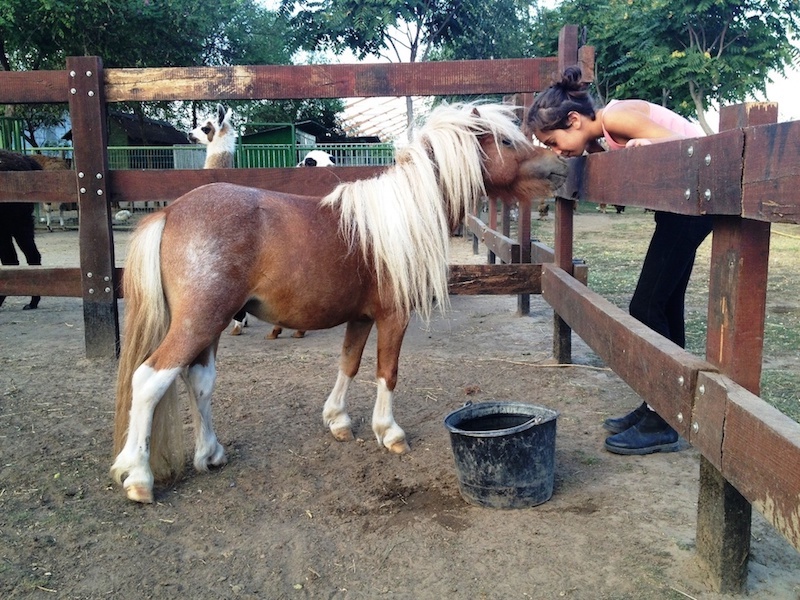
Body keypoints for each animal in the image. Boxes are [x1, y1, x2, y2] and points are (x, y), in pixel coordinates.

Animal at [111, 102, 568, 502]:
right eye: (506, 142)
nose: (560, 168)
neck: (406, 217)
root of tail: (169, 212)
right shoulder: (393, 317)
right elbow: (387, 372)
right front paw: (389, 432)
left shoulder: (361, 318)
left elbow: (348, 364)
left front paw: (338, 421)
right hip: (199, 321)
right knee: (149, 379)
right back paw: (138, 477)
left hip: (212, 323)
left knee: (200, 380)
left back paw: (211, 454)